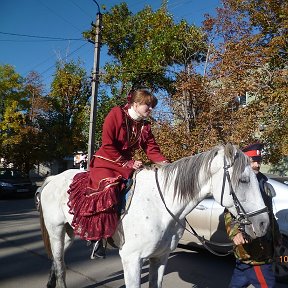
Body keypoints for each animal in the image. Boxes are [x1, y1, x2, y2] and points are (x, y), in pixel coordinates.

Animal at [38, 144, 270, 288]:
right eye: (243, 180)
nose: (263, 223)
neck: (160, 206)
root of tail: (52, 179)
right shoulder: (131, 259)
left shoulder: (160, 256)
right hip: (56, 231)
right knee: (60, 266)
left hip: (69, 233)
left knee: (57, 262)